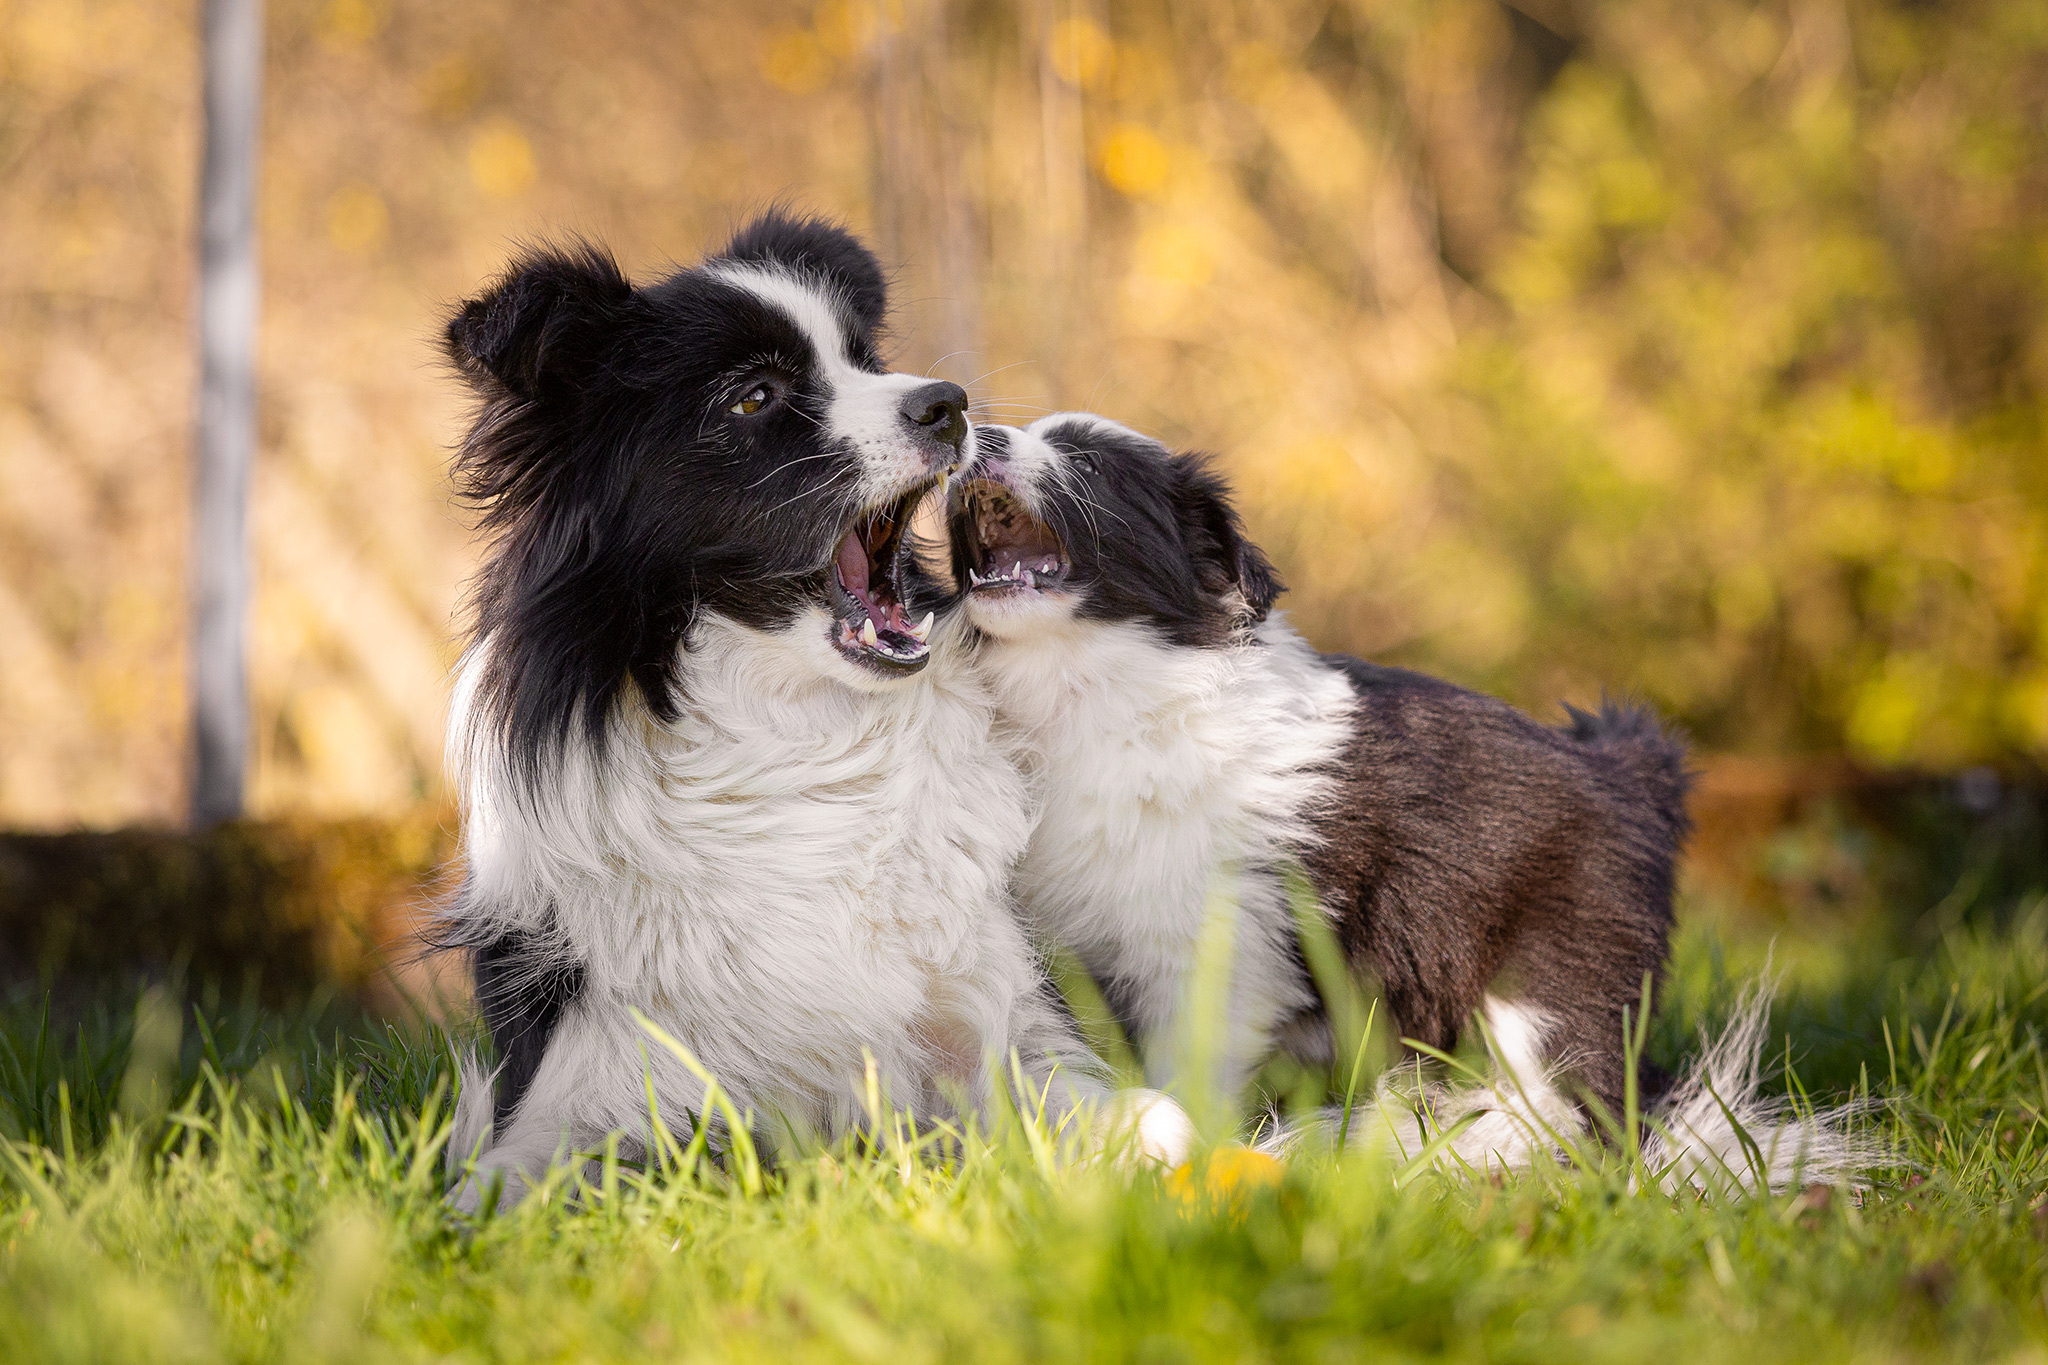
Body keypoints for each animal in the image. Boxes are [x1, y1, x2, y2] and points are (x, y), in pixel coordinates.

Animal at [438, 218, 1179, 1211]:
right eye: (755, 397)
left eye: (865, 360)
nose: (948, 403)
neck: (798, 736)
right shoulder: (578, 1091)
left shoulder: (1010, 1028)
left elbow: (1155, 1123)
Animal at [950, 413, 1753, 1178]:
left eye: (1088, 461)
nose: (977, 435)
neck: (1094, 690)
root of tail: (1633, 769)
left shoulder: (1222, 944)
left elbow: (1191, 1068)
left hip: (1559, 960)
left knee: (1580, 1105)